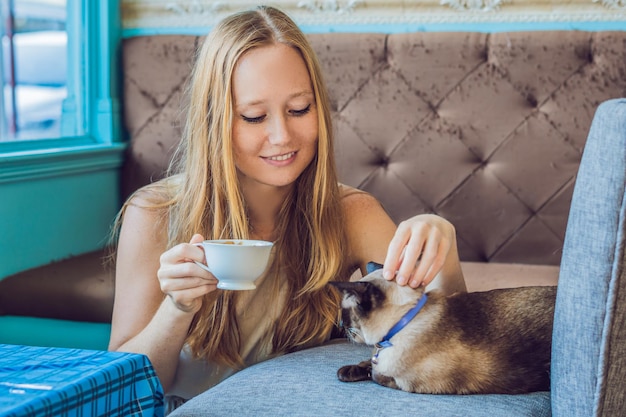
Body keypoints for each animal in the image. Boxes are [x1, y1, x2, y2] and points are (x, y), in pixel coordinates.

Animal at [332, 264, 556, 394]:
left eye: (344, 313)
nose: (340, 325)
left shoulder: (406, 383)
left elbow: (377, 375)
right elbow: (367, 363)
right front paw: (348, 371)